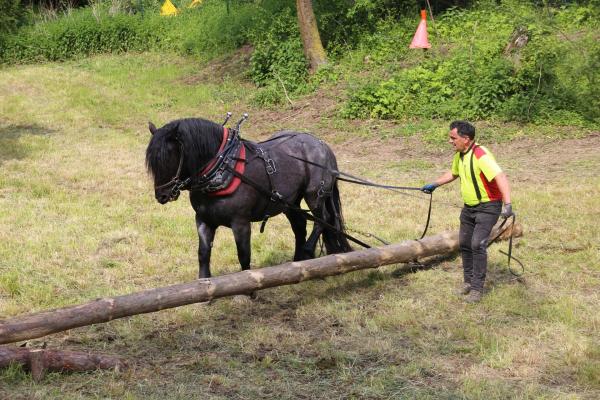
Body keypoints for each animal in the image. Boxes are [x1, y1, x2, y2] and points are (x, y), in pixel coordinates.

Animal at [145, 116, 352, 278]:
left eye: (168, 158)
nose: (161, 195)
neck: (223, 169)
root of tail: (322, 145)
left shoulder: (241, 222)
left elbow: (243, 255)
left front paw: (248, 291)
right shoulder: (203, 219)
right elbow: (203, 253)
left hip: (314, 195)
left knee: (322, 219)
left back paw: (307, 252)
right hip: (289, 202)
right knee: (300, 227)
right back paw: (297, 263)